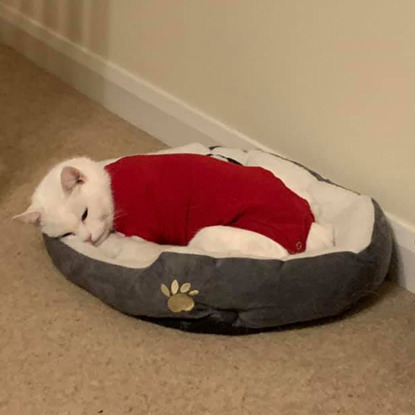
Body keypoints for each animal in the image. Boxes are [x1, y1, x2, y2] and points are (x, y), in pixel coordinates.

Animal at [15, 156, 334, 260]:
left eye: (84, 214)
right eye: (66, 234)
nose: (89, 240)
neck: (111, 183)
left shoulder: (141, 232)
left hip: (207, 235)